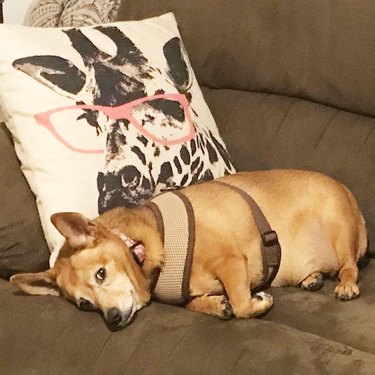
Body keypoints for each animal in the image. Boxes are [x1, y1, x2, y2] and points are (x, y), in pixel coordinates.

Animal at [11, 171, 368, 332]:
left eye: (101, 274)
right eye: (84, 305)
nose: (112, 319)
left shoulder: (231, 262)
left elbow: (242, 305)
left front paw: (257, 302)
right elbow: (196, 304)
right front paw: (215, 305)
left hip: (338, 227)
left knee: (349, 265)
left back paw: (345, 285)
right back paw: (311, 278)